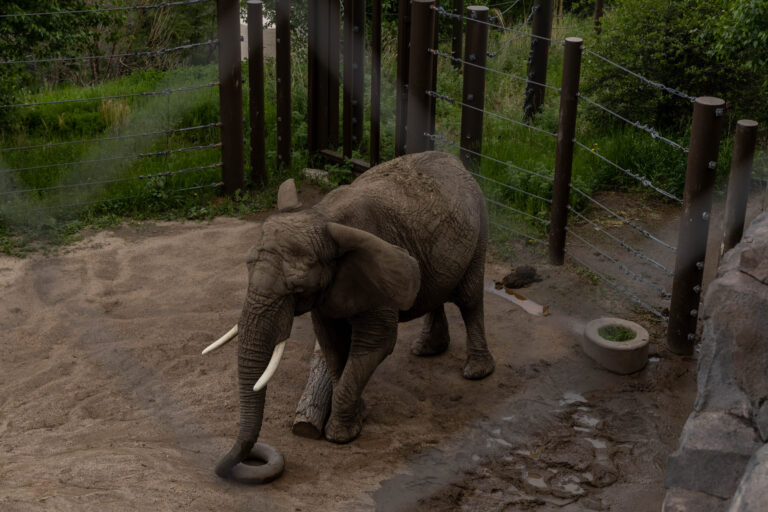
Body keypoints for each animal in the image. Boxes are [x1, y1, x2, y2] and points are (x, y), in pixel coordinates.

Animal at [201, 150, 496, 482]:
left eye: (296, 289)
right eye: (247, 265)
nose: (251, 457)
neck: (324, 216)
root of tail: (454, 159)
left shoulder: (377, 275)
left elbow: (374, 344)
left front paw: (340, 435)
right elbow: (332, 344)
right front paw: (358, 415)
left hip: (480, 226)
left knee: (469, 299)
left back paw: (476, 371)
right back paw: (427, 350)